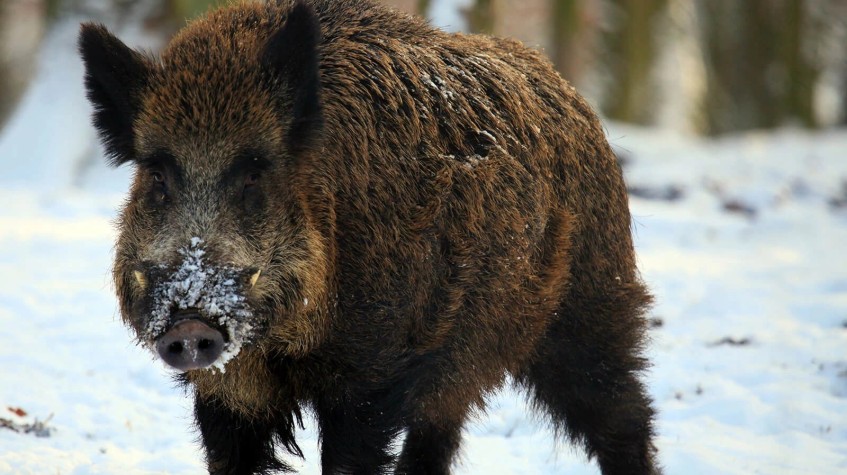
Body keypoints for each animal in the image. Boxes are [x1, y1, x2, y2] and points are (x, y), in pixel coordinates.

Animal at [79, 0, 660, 473]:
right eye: (157, 174)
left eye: (255, 171)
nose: (190, 322)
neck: (282, 345)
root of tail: (570, 95)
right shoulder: (229, 393)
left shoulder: (370, 374)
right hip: (459, 371)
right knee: (438, 440)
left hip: (591, 306)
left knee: (625, 415)